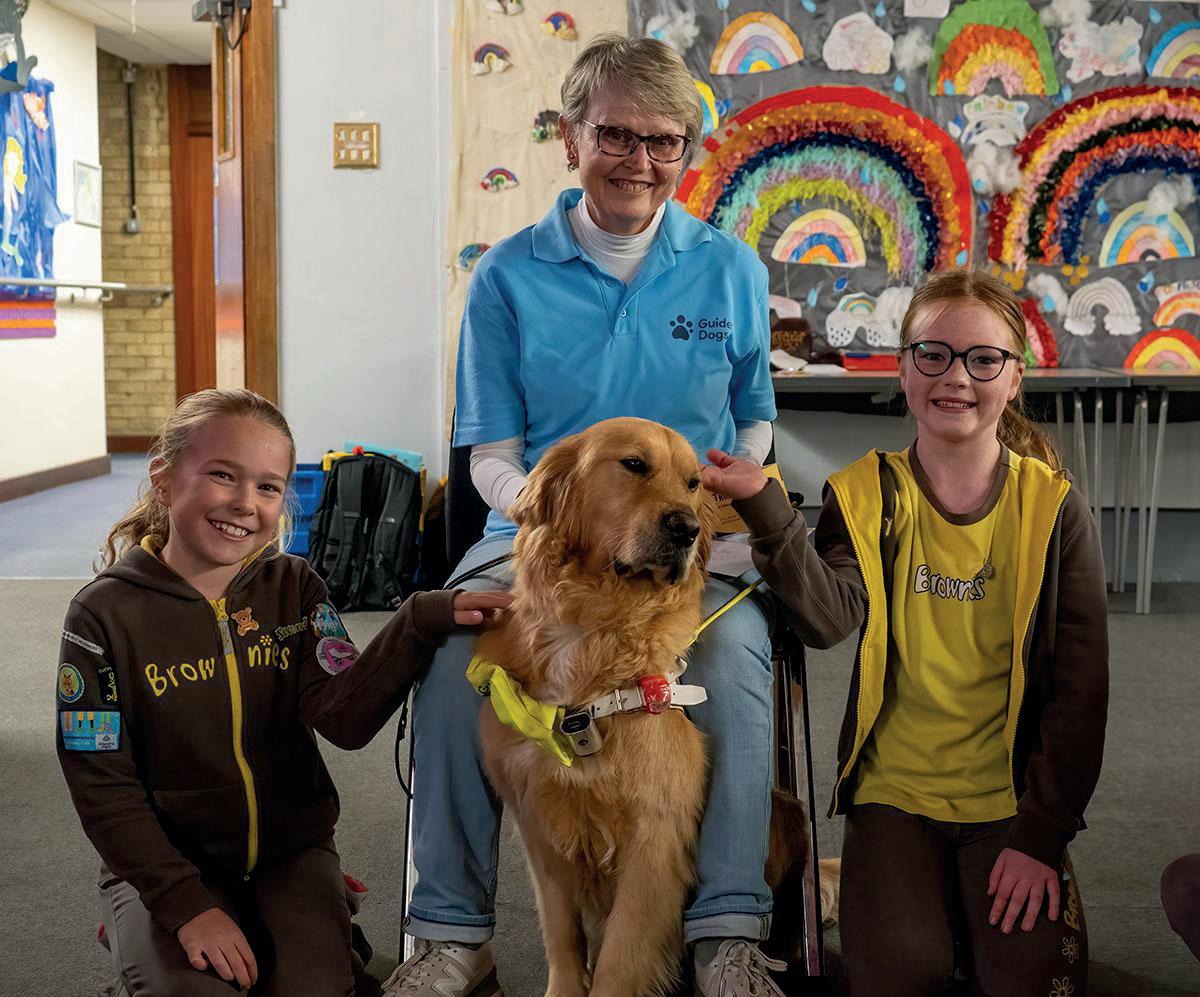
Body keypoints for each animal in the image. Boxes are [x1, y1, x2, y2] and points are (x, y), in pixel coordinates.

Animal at [473, 417, 808, 997]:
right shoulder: (542, 827)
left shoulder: (653, 841)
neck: (595, 632)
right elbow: (563, 938)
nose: (687, 529)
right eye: (633, 465)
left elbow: (618, 960)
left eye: (695, 482)